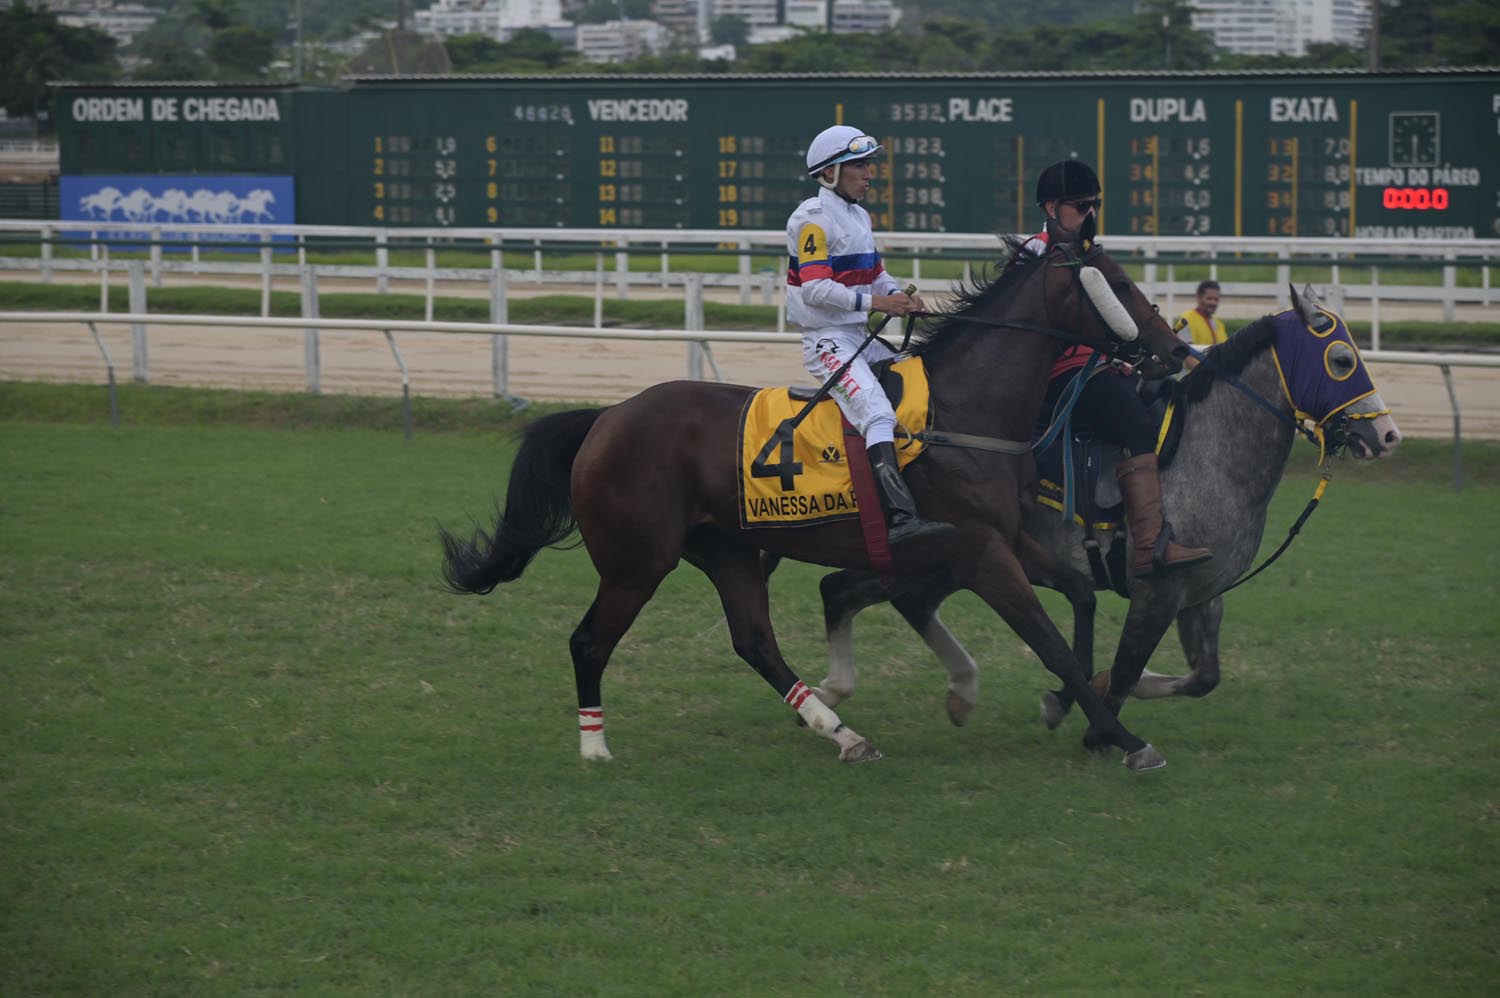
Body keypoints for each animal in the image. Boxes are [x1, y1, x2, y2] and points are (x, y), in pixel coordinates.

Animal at [438, 232, 1191, 769]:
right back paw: (595, 746)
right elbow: (1047, 639)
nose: (1174, 348)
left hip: (727, 551)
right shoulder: (981, 552)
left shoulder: (1006, 539)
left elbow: (1080, 594)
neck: (961, 410)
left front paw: (1074, 709)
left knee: (755, 642)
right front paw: (1124, 736)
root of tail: (605, 418)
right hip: (636, 564)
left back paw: (841, 732)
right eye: (1120, 284)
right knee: (590, 640)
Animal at [800, 286, 1403, 741]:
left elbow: (1201, 676)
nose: (1386, 435)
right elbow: (1129, 666)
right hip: (952, 557)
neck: (1207, 451)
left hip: (955, 562)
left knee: (869, 594)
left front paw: (1093, 691)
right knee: (853, 590)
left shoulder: (1202, 596)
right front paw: (1097, 721)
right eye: (1342, 360)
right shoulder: (1157, 592)